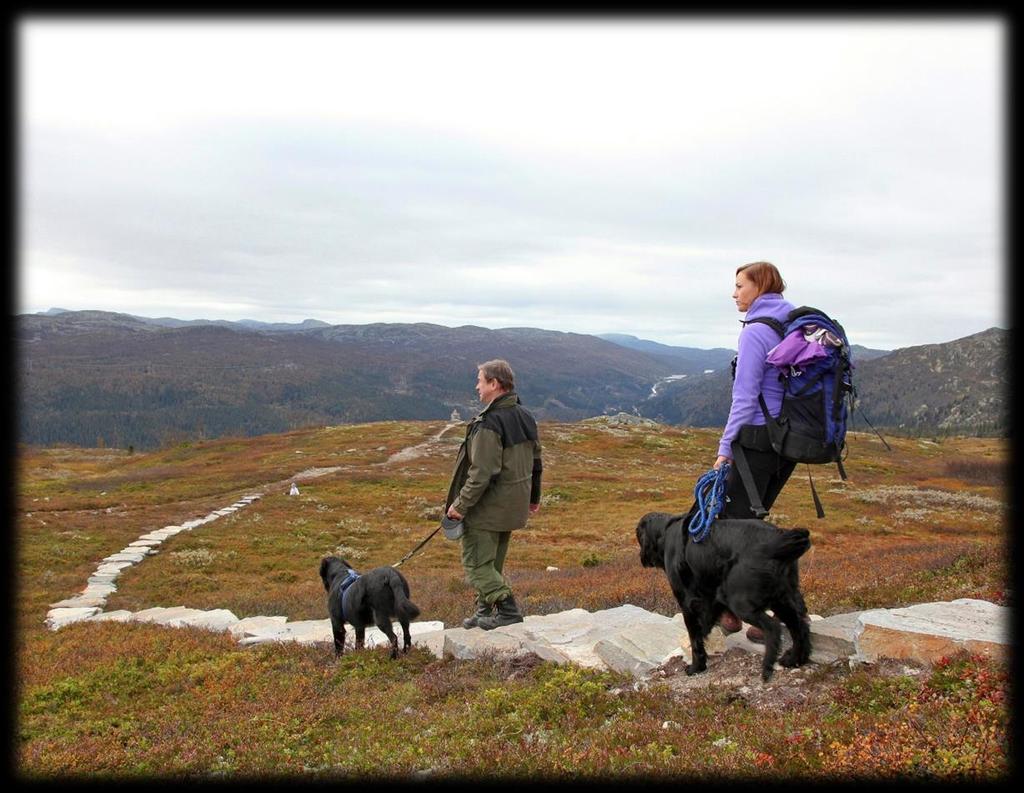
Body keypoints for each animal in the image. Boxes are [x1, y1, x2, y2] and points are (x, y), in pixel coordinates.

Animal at [634, 516, 811, 684]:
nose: (641, 556)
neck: (666, 531)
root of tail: (776, 541)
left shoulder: (687, 602)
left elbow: (695, 637)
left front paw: (696, 667)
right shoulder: (711, 597)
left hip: (740, 601)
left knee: (773, 627)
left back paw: (767, 668)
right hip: (782, 598)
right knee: (800, 625)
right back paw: (794, 660)